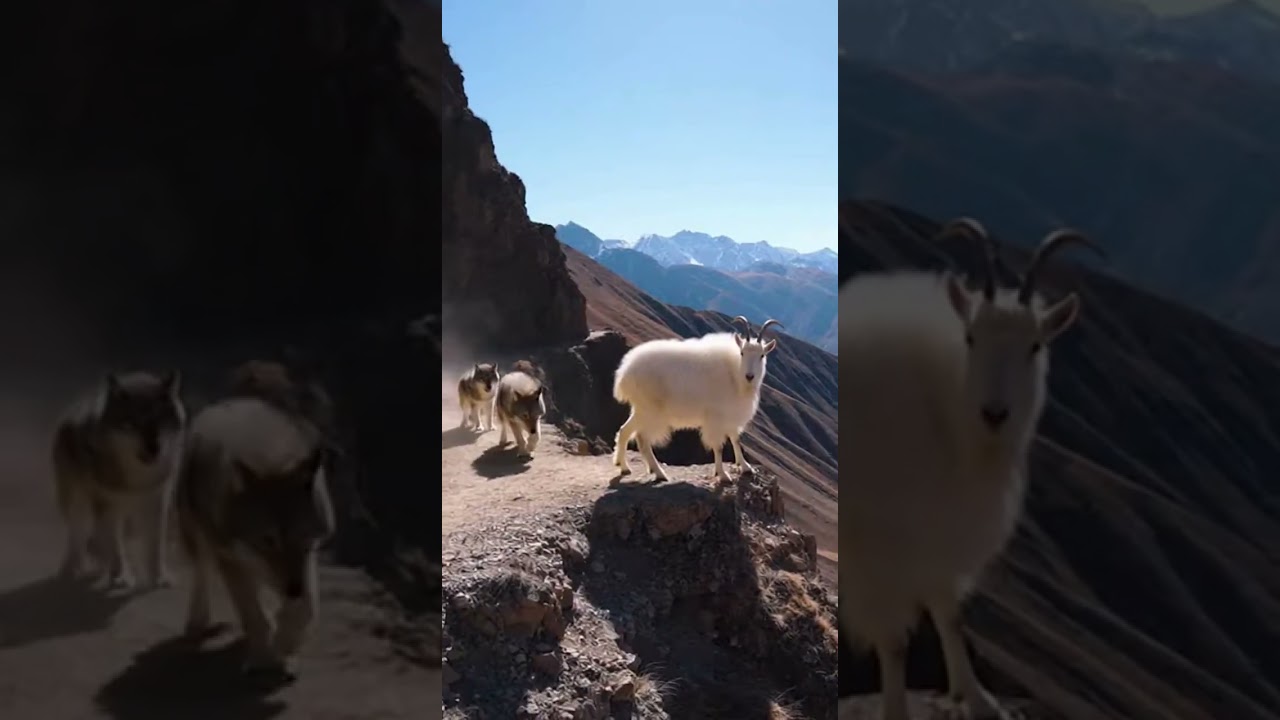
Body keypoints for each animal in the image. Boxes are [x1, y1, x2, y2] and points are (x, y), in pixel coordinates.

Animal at [51, 370, 185, 590]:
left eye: (160, 422)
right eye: (131, 425)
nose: (153, 448)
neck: (138, 479)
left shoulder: (157, 503)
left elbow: (155, 547)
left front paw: (159, 577)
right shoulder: (106, 507)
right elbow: (115, 548)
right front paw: (121, 576)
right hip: (79, 505)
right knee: (78, 538)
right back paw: (72, 569)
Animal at [175, 392, 335, 675]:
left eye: (303, 536)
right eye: (268, 540)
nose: (294, 589)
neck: (270, 456)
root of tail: (226, 402)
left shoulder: (308, 556)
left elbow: (307, 608)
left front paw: (287, 644)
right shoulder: (229, 557)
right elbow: (252, 614)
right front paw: (262, 657)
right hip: (201, 537)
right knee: (203, 570)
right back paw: (197, 621)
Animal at [611, 316, 782, 484]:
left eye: (762, 355)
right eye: (742, 353)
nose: (749, 376)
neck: (734, 374)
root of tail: (624, 373)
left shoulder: (730, 415)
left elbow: (735, 439)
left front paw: (746, 467)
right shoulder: (716, 418)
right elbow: (718, 446)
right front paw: (723, 474)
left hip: (640, 409)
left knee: (625, 431)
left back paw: (624, 467)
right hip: (651, 411)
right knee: (643, 439)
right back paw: (659, 473)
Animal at [839, 219, 1101, 720]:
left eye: (1035, 345)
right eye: (971, 338)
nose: (994, 414)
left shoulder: (937, 532)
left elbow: (949, 614)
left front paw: (978, 698)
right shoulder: (878, 548)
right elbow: (893, 641)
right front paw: (897, 710)